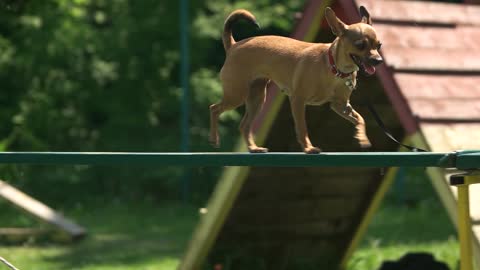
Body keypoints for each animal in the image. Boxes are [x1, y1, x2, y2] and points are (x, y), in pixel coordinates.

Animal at [210, 6, 382, 153]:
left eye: (379, 45)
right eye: (360, 45)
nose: (379, 60)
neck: (334, 69)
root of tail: (233, 45)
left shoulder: (341, 106)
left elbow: (360, 118)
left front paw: (362, 138)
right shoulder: (298, 101)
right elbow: (302, 128)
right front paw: (308, 148)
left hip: (257, 99)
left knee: (244, 125)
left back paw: (253, 148)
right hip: (237, 95)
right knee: (214, 108)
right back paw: (214, 139)